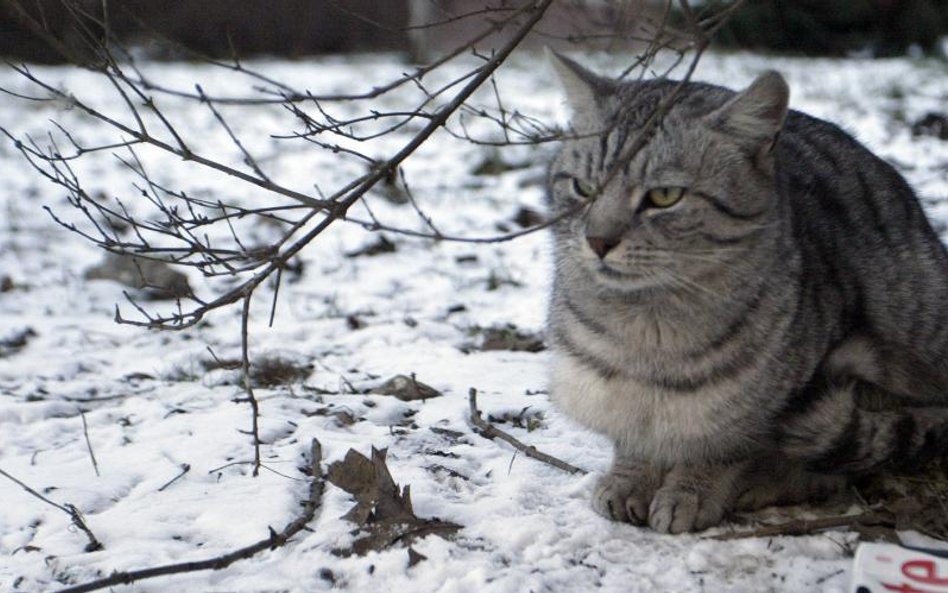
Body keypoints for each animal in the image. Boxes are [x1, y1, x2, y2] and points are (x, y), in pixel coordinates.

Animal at [544, 53, 948, 536]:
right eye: (584, 188)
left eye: (664, 196)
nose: (597, 240)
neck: (646, 330)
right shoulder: (617, 396)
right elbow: (634, 440)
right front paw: (629, 479)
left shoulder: (762, 404)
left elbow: (726, 450)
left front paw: (691, 491)